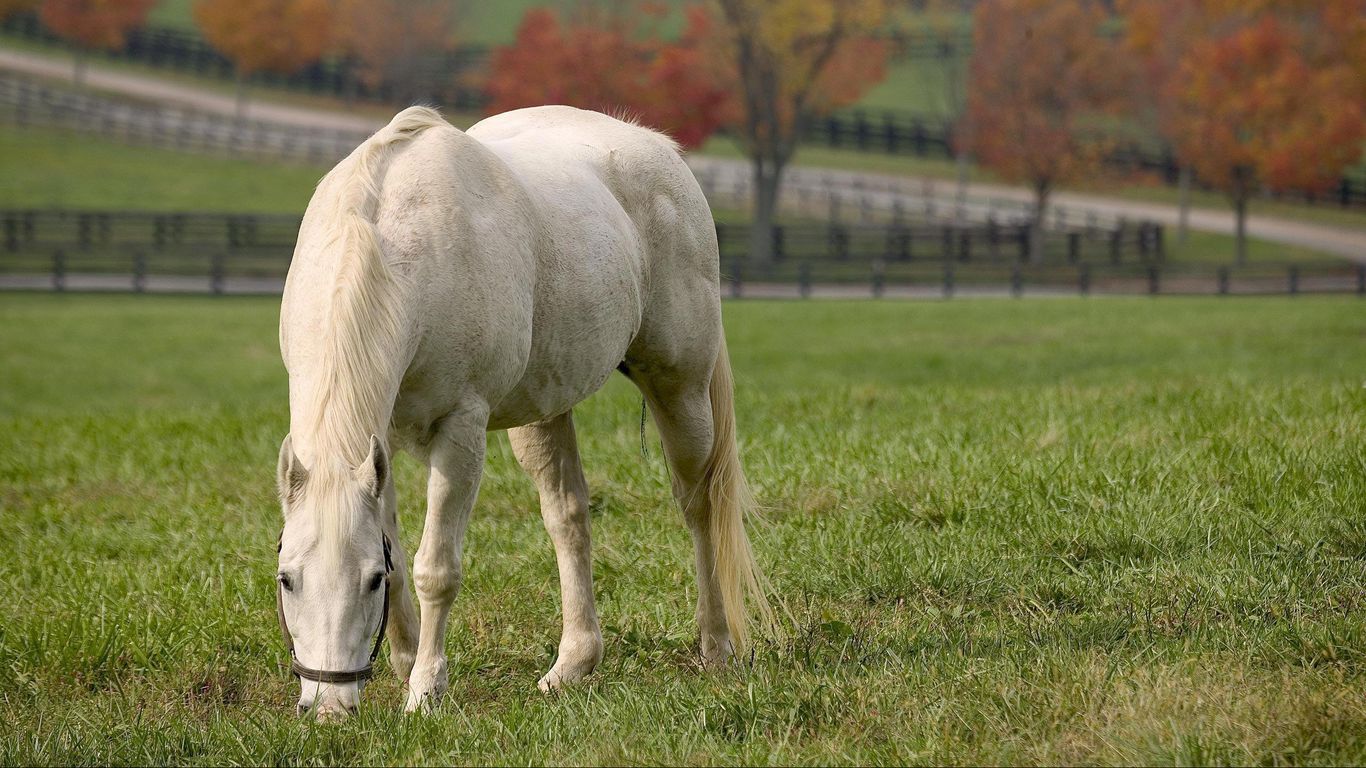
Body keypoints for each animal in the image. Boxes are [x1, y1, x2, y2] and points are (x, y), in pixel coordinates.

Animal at [275, 105, 768, 718]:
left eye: (367, 582)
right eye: (287, 579)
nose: (328, 707)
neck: (393, 245)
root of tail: (660, 149)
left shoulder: (461, 431)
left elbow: (435, 567)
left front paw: (425, 691)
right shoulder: (377, 441)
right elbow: (401, 552)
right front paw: (405, 663)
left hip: (681, 388)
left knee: (700, 506)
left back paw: (716, 645)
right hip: (545, 411)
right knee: (568, 515)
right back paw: (574, 664)